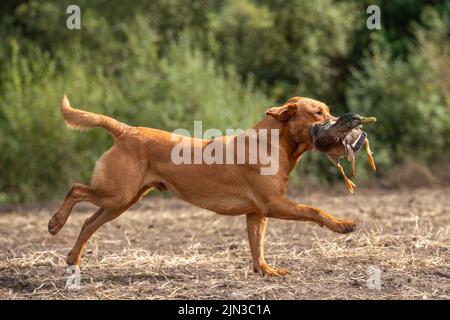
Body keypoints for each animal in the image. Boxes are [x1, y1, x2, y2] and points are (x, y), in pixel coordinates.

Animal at [48, 94, 356, 276]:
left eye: (328, 111)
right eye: (318, 113)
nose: (347, 121)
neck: (274, 142)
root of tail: (126, 130)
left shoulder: (256, 213)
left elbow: (257, 246)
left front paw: (265, 271)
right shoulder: (275, 204)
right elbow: (314, 210)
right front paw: (342, 225)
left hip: (122, 201)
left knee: (88, 223)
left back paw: (73, 259)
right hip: (117, 194)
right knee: (75, 190)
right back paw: (55, 223)